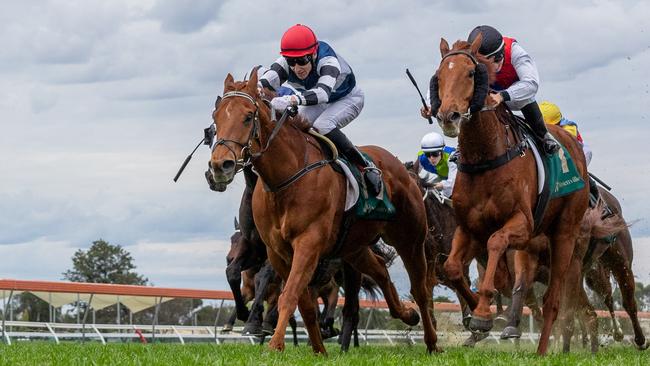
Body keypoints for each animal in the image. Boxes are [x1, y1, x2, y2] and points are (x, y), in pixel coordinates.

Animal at [208, 70, 436, 354]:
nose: (220, 166)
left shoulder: (309, 242)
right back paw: (407, 313)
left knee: (420, 288)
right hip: (353, 247)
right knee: (380, 269)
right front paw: (318, 350)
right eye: (215, 118)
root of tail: (403, 169)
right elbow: (301, 301)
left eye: (248, 116)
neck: (285, 178)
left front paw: (274, 345)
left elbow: (289, 294)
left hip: (410, 238)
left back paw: (431, 342)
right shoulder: (276, 250)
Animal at [432, 34, 588, 354]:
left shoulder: (522, 224)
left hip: (565, 233)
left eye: (471, 73)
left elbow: (495, 242)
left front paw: (482, 313)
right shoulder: (468, 227)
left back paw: (542, 351)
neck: (485, 158)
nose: (448, 116)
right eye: (439, 76)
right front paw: (479, 316)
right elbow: (453, 267)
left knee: (552, 300)